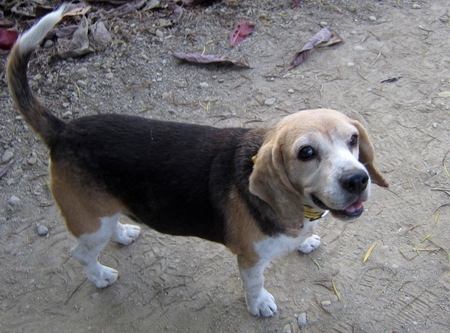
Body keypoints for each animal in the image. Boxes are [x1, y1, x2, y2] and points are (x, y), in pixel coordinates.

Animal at [6, 5, 386, 316]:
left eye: (353, 140)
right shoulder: (249, 260)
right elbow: (254, 285)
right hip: (89, 222)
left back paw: (124, 233)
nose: (357, 180)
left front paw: (305, 240)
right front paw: (260, 304)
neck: (296, 209)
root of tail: (63, 129)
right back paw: (100, 276)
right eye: (306, 153)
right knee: (82, 254)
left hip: (102, 209)